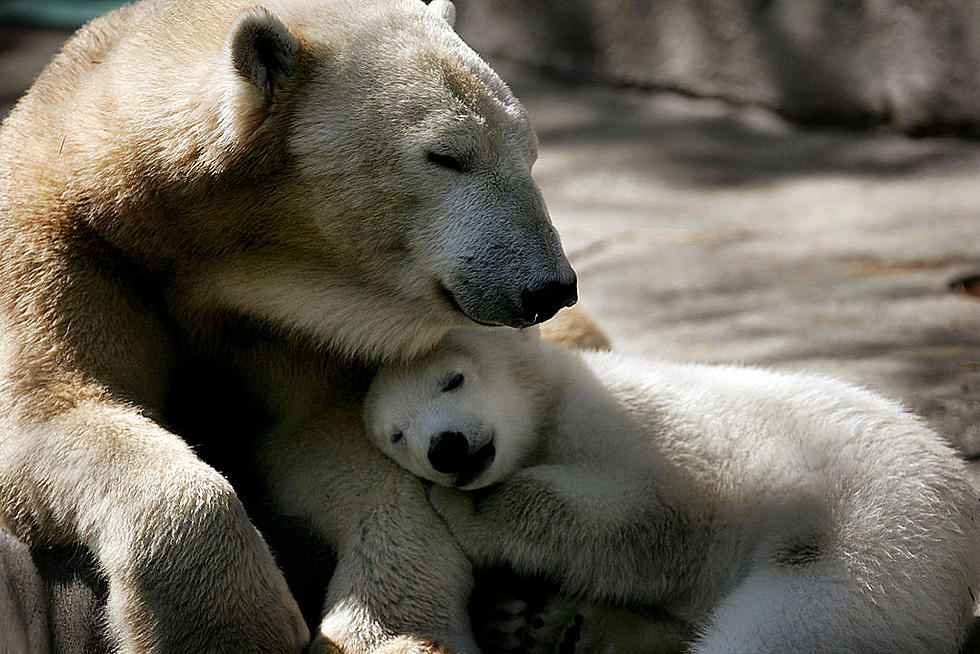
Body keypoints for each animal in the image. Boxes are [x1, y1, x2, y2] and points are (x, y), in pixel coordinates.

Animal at [0, 1, 580, 654]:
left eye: (530, 154)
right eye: (447, 156)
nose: (550, 287)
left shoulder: (289, 322)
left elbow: (324, 437)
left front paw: (395, 631)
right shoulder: (65, 250)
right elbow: (53, 410)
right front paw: (237, 628)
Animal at [366, 328, 980, 654]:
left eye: (454, 378)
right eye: (396, 434)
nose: (445, 447)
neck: (555, 404)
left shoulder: (649, 436)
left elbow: (632, 522)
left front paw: (464, 507)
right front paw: (513, 615)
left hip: (868, 547)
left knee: (778, 629)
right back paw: (570, 625)